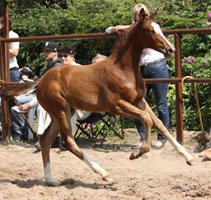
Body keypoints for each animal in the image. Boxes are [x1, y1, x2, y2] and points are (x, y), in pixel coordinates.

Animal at [35, 9, 195, 186]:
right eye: (151, 31)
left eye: (159, 28)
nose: (170, 50)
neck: (123, 70)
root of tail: (40, 82)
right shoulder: (116, 106)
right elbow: (147, 119)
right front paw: (137, 153)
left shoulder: (139, 101)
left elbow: (159, 124)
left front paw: (188, 157)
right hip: (61, 110)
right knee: (67, 141)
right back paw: (104, 174)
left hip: (64, 112)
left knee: (45, 140)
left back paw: (51, 179)